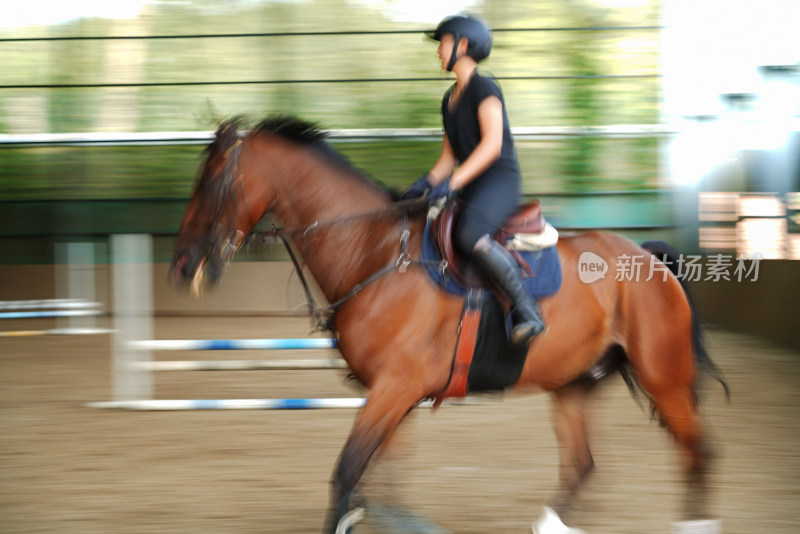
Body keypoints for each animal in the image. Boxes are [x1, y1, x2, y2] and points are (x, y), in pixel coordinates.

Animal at [172, 119, 728, 534]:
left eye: (214, 182)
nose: (182, 265)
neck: (373, 254)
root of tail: (648, 256)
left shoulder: (395, 388)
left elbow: (347, 472)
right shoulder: (390, 394)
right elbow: (374, 480)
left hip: (664, 378)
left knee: (699, 453)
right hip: (573, 384)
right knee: (585, 464)